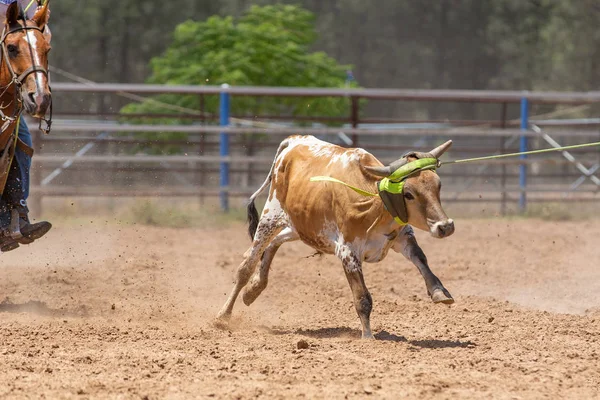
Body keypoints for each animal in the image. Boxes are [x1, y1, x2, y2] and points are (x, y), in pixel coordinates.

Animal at [218, 134, 458, 338]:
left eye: (438, 186)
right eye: (408, 194)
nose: (445, 226)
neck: (374, 202)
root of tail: (294, 141)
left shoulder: (402, 236)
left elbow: (421, 259)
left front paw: (439, 292)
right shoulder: (348, 252)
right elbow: (362, 298)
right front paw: (368, 336)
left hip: (299, 226)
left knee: (272, 245)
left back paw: (253, 290)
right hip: (271, 216)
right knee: (247, 265)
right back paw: (223, 315)